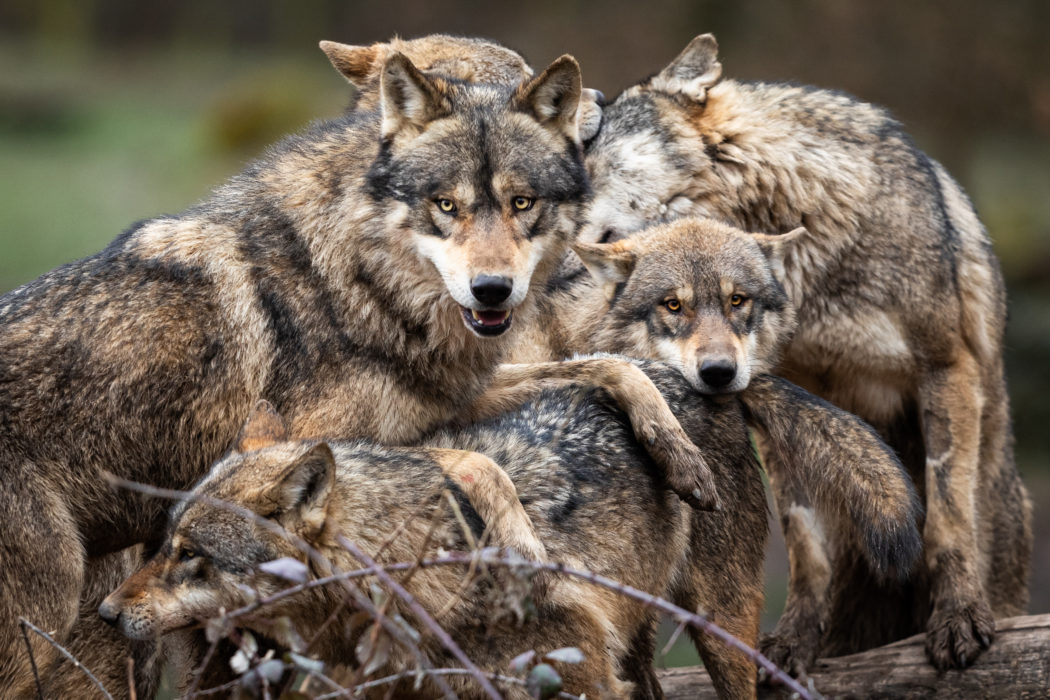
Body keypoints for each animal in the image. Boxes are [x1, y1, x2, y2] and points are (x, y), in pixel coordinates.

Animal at [0, 48, 716, 696]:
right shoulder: (322, 445)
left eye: (522, 203)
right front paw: (523, 550)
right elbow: (479, 463)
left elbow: (610, 366)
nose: (492, 290)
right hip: (45, 620)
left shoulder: (444, 399)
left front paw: (681, 456)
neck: (363, 276)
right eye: (446, 206)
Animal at [579, 33, 1033, 671]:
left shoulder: (945, 366)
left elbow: (946, 515)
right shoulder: (775, 390)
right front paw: (792, 641)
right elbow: (803, 540)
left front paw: (958, 619)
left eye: (577, 165)